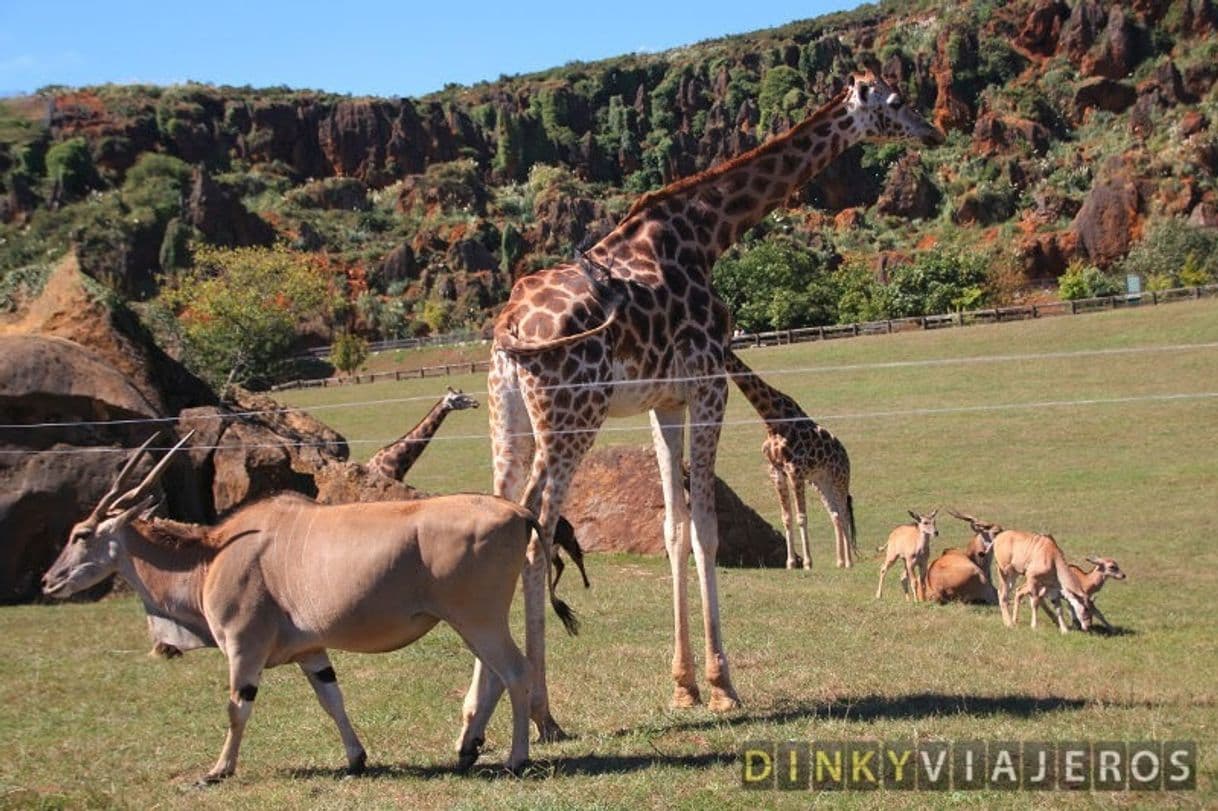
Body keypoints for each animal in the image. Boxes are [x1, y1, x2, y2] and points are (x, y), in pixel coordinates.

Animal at [41, 433, 574, 779]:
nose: (49, 581)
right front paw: (356, 759)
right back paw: (468, 750)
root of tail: (516, 511)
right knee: (495, 677)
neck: (212, 556)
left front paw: (218, 770)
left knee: (516, 672)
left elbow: (236, 708)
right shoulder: (310, 653)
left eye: (81, 534)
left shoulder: (244, 649)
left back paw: (515, 758)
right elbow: (332, 700)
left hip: (477, 618)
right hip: (470, 622)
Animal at [721, 350, 857, 572]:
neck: (771, 418)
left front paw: (808, 563)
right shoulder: (776, 471)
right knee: (835, 514)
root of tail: (845, 454)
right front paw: (791, 563)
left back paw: (849, 562)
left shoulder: (795, 470)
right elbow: (786, 517)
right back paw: (840, 561)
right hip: (821, 482)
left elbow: (801, 517)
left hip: (840, 477)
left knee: (844, 513)